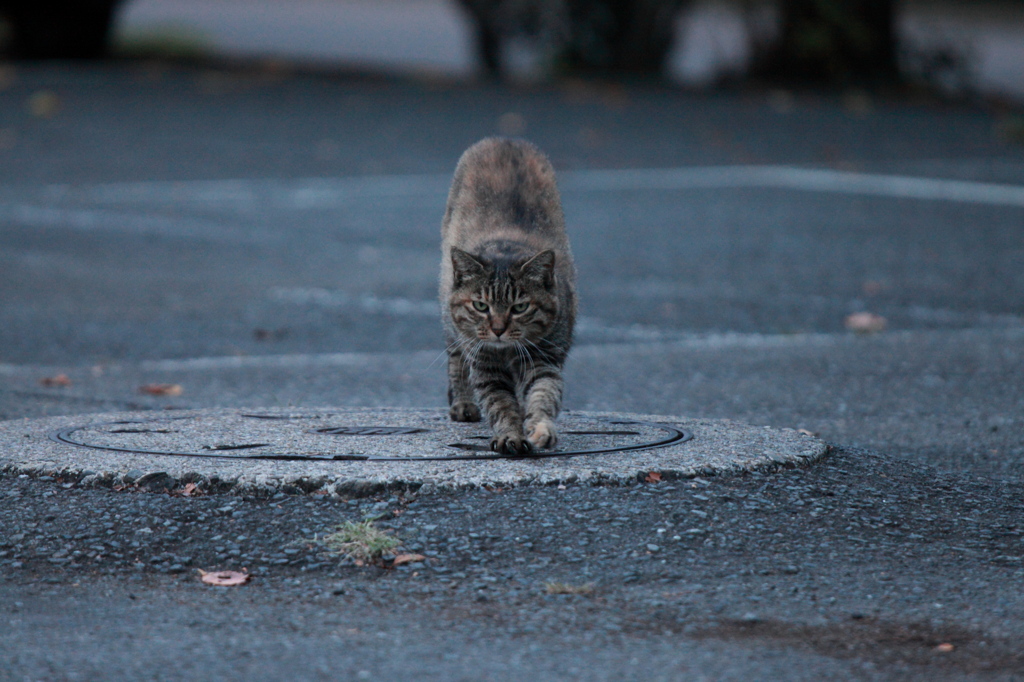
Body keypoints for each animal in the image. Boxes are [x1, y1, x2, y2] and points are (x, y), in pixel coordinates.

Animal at [438, 137, 577, 456]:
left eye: (520, 307)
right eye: (481, 305)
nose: (498, 329)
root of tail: (505, 139)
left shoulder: (544, 359)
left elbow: (543, 395)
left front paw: (540, 429)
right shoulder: (486, 366)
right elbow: (500, 404)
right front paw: (510, 435)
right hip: (451, 324)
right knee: (456, 359)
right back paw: (463, 403)